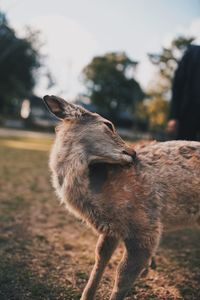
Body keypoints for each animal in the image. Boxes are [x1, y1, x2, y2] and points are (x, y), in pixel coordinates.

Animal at [43, 95, 200, 300]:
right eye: (108, 125)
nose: (133, 153)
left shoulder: (146, 226)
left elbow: (123, 276)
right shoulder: (112, 228)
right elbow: (101, 256)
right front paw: (86, 295)